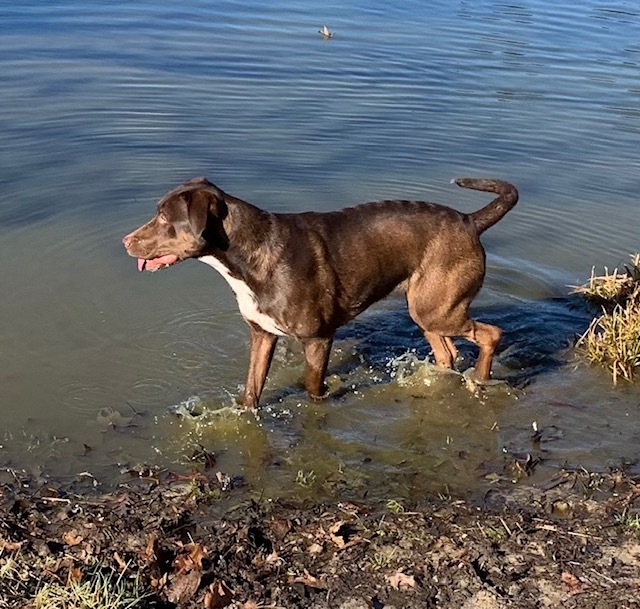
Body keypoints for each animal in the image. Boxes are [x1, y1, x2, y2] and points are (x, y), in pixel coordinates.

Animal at [122, 176, 516, 408]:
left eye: (164, 218)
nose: (125, 241)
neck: (249, 255)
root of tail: (469, 221)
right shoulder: (262, 335)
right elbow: (252, 389)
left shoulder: (318, 338)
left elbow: (313, 387)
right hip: (426, 307)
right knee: (447, 353)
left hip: (437, 308)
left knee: (491, 334)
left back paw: (480, 380)